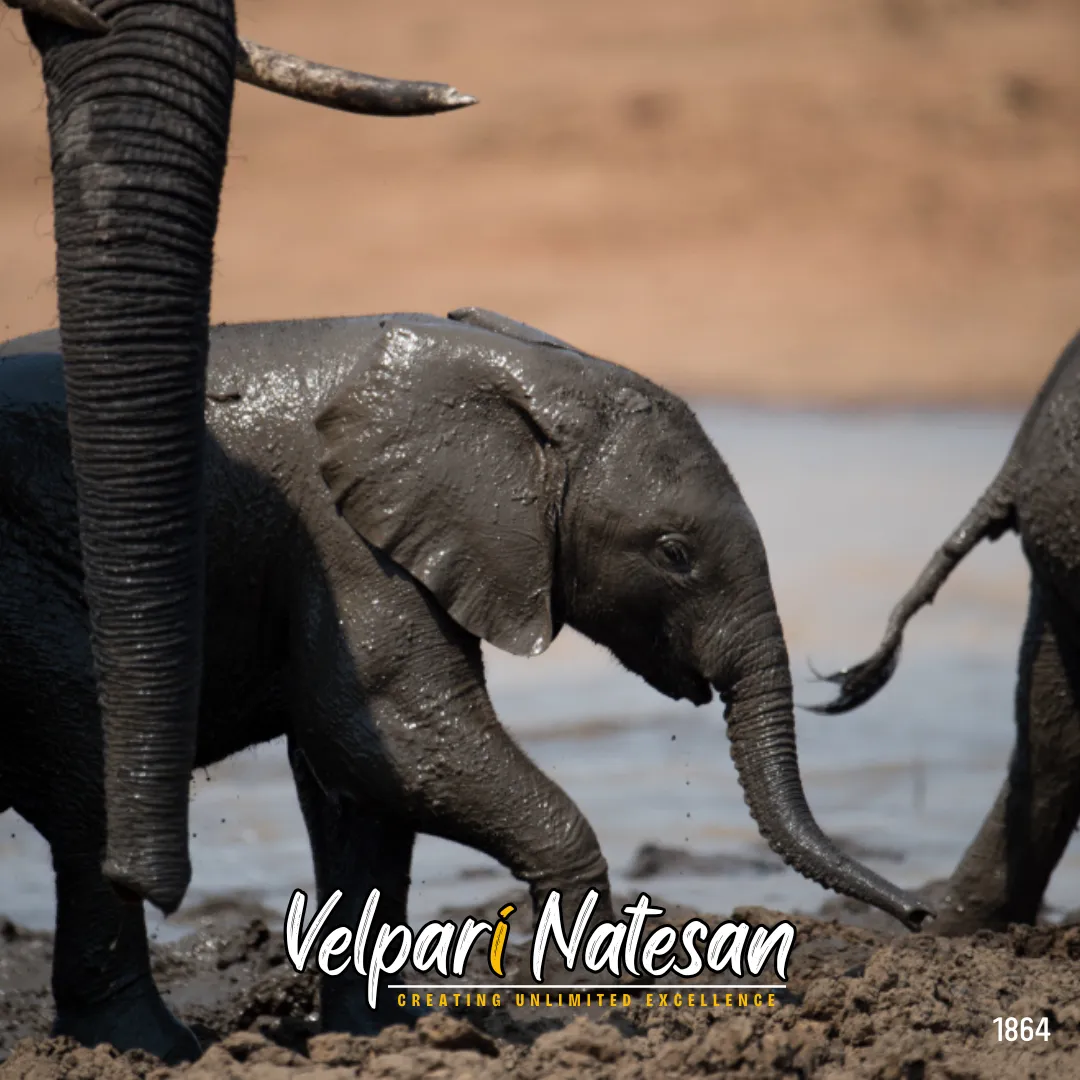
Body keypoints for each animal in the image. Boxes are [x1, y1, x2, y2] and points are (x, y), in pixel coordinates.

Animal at [0, 309, 928, 1060]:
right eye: (673, 553)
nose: (919, 919)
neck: (506, 373)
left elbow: (361, 789)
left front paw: (383, 1039)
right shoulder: (344, 541)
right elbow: (388, 731)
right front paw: (599, 1019)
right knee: (90, 780)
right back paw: (152, 1049)